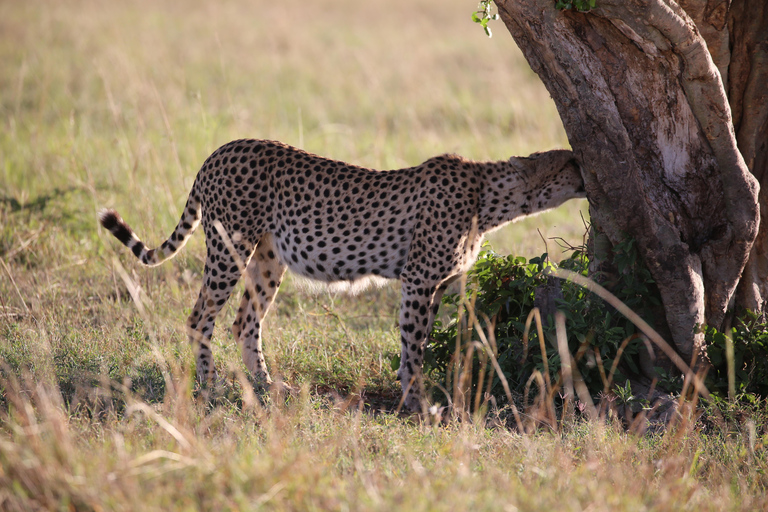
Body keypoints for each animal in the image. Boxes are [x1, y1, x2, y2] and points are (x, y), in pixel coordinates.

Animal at [99, 140, 584, 412]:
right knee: (201, 317)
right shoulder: (418, 279)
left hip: (268, 258)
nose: (587, 172)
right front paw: (416, 403)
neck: (490, 196)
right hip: (229, 249)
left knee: (245, 321)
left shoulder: (441, 284)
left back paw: (267, 386)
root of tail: (221, 151)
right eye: (571, 162)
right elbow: (413, 346)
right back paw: (209, 387)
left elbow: (440, 338)